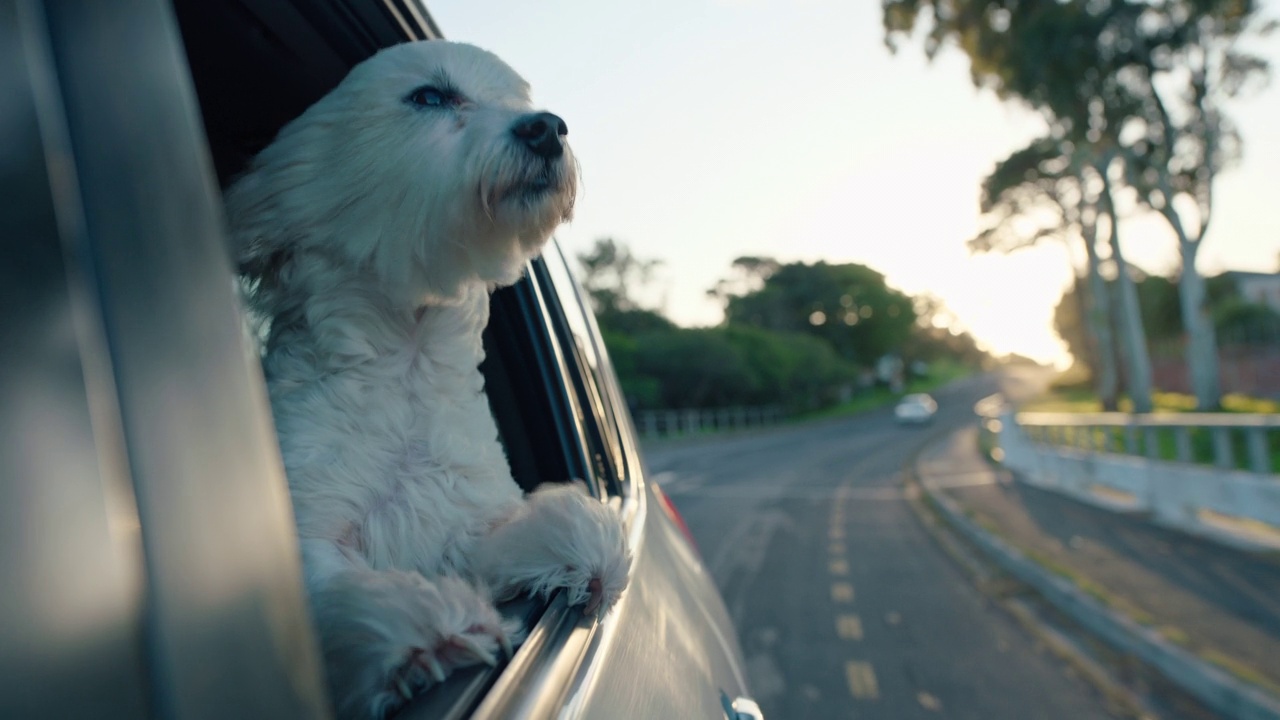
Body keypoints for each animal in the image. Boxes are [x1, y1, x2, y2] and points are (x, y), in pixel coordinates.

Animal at [229, 41, 634, 712]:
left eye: (518, 101)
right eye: (428, 97)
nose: (547, 127)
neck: (410, 361)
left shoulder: (460, 527)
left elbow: (527, 531)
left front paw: (583, 546)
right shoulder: (308, 527)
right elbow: (335, 586)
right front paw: (422, 628)